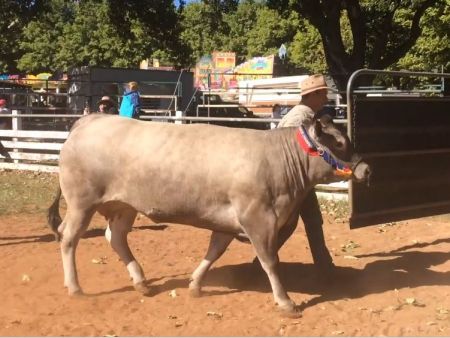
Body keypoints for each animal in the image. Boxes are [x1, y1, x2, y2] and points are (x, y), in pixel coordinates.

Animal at [47, 114, 370, 316]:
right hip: (81, 203)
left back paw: (140, 282)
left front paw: (195, 284)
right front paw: (286, 302)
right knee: (68, 238)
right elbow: (270, 261)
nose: (366, 169)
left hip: (124, 206)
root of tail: (89, 120)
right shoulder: (259, 218)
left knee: (115, 238)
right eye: (339, 142)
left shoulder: (229, 221)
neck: (279, 160)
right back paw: (75, 287)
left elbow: (214, 251)